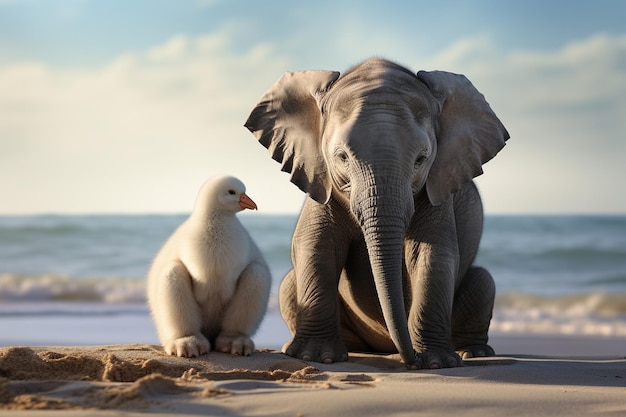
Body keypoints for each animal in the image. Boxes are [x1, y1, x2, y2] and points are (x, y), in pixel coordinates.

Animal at [244, 57, 508, 368]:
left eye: (421, 159)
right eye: (341, 157)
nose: (413, 360)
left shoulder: (437, 187)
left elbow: (432, 255)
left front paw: (436, 362)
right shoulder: (320, 180)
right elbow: (316, 246)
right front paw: (318, 357)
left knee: (483, 281)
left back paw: (472, 353)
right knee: (288, 282)